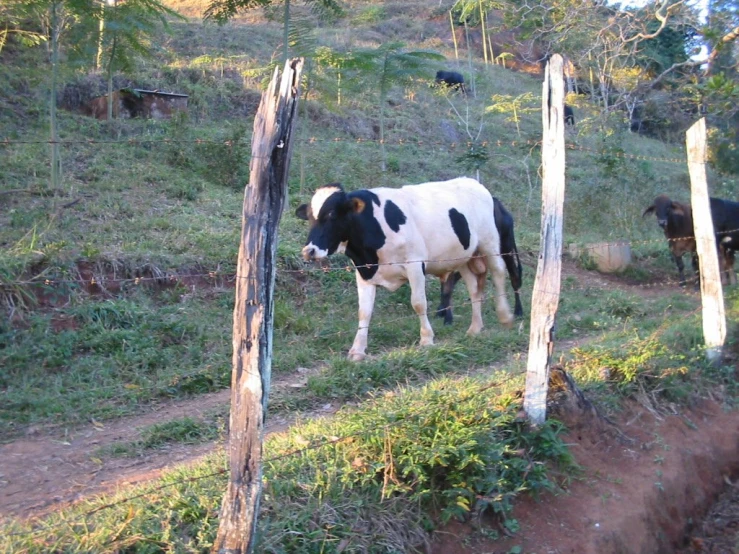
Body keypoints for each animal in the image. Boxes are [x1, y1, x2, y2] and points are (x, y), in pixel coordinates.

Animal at [294, 176, 516, 358]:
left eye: (332, 214)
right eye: (310, 217)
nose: (309, 251)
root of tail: (475, 183)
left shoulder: (415, 264)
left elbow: (418, 303)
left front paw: (426, 339)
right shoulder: (364, 271)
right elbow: (364, 311)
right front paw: (357, 350)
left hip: (489, 243)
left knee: (498, 272)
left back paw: (505, 316)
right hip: (464, 257)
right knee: (474, 288)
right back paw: (475, 328)